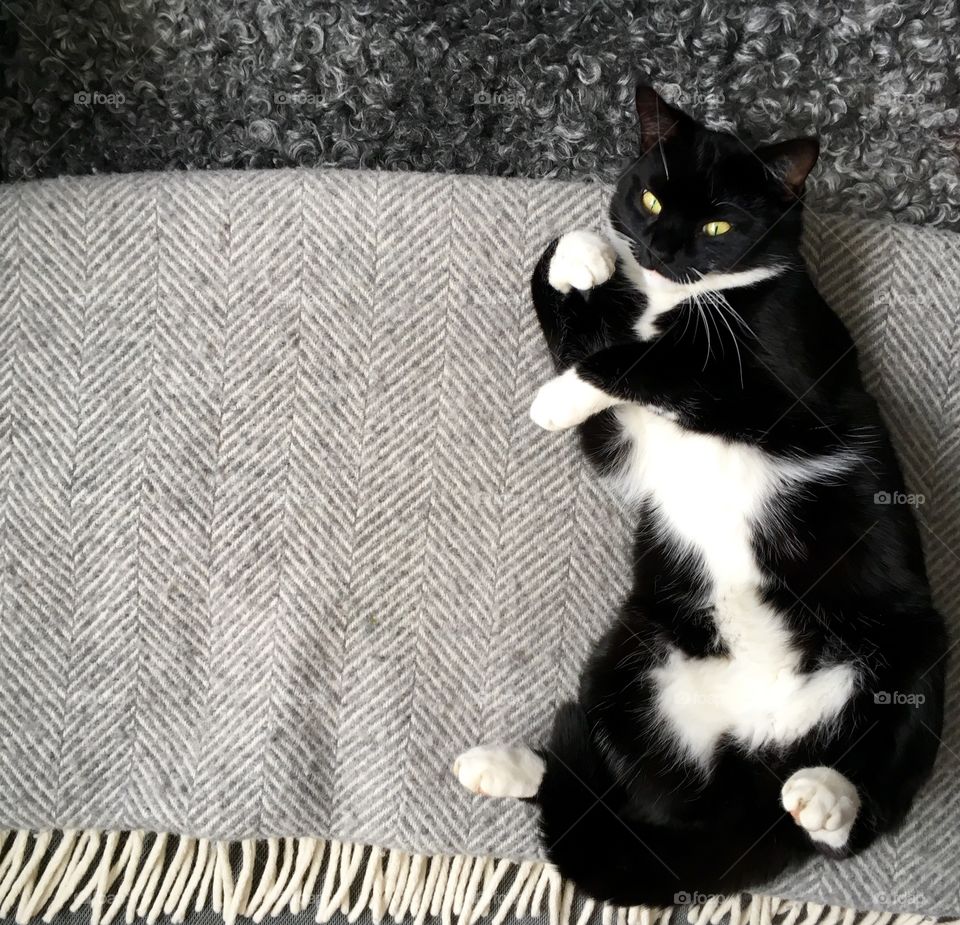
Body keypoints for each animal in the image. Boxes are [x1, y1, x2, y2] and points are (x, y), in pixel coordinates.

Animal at [452, 83, 944, 904]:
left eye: (718, 224)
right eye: (651, 196)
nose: (658, 248)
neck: (674, 300)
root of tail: (755, 760)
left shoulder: (785, 383)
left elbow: (660, 364)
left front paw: (557, 396)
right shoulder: (627, 445)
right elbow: (578, 327)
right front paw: (579, 255)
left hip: (915, 654)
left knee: (866, 803)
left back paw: (829, 797)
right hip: (634, 654)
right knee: (621, 795)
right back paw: (502, 766)